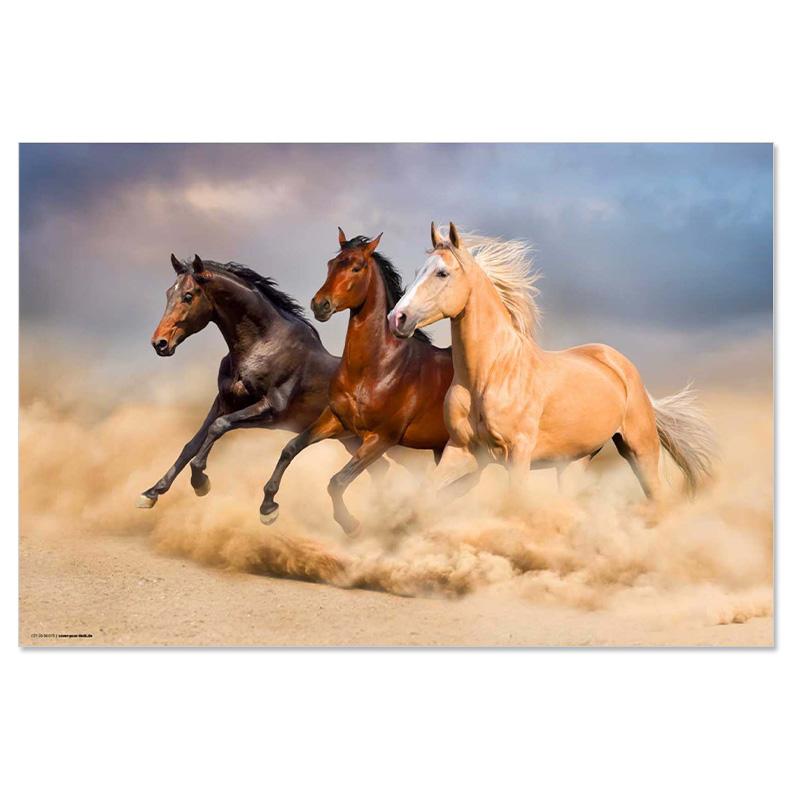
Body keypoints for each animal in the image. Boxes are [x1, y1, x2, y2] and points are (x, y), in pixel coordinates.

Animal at [137, 253, 390, 509]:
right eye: (168, 293)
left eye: (188, 296)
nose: (160, 343)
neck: (261, 346)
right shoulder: (224, 402)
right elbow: (192, 443)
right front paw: (152, 492)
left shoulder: (270, 410)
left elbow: (219, 427)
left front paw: (200, 481)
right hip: (352, 440)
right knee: (379, 468)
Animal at [259, 229, 454, 534]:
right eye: (331, 264)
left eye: (356, 267)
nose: (320, 304)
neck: (377, 368)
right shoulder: (337, 420)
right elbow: (290, 448)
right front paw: (268, 507)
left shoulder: (381, 439)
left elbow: (337, 481)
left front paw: (350, 524)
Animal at [387, 222, 715, 509]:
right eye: (418, 271)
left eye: (442, 273)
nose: (397, 318)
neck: (489, 374)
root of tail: (621, 366)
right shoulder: (461, 450)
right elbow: (426, 493)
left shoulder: (517, 455)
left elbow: (514, 505)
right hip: (573, 462)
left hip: (640, 449)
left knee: (657, 497)